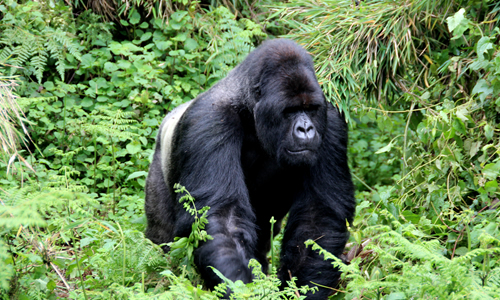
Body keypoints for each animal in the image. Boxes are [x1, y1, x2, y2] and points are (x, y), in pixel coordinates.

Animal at [145, 38, 356, 298]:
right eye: (290, 111)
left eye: (310, 108)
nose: (306, 129)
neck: (250, 111)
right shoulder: (209, 121)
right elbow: (221, 217)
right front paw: (243, 289)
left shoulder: (331, 120)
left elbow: (318, 215)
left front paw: (300, 289)